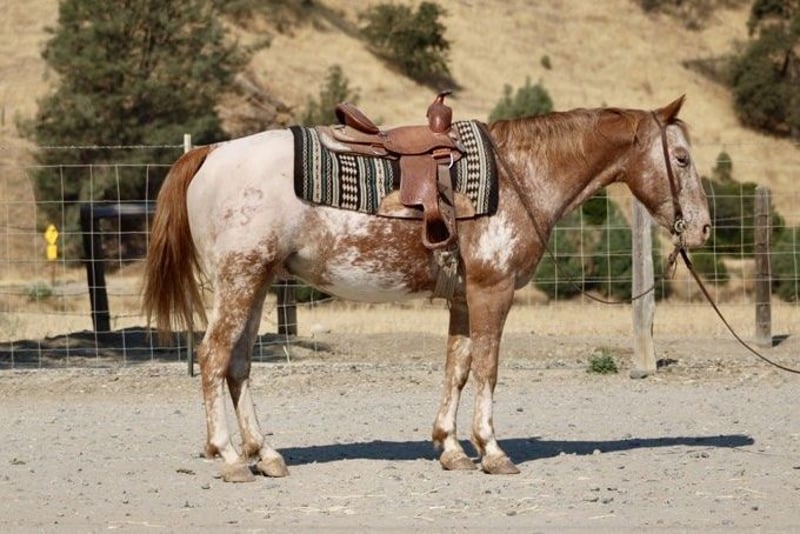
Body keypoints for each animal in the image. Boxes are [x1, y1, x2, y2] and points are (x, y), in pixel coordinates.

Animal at [142, 96, 711, 481]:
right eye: (682, 159)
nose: (703, 229)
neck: (518, 176)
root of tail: (212, 152)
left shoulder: (463, 297)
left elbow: (456, 368)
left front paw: (451, 449)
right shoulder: (492, 290)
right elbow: (487, 368)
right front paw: (492, 451)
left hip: (256, 285)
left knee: (238, 365)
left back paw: (266, 455)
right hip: (238, 281)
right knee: (213, 358)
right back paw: (231, 457)